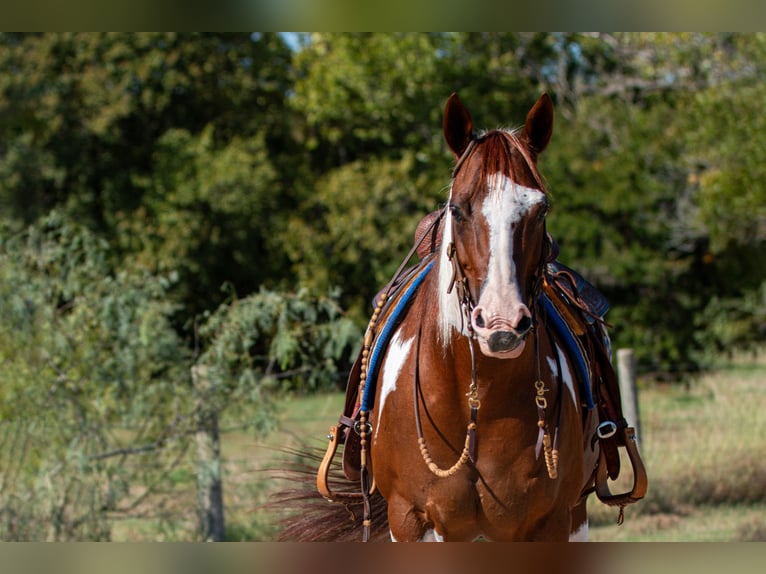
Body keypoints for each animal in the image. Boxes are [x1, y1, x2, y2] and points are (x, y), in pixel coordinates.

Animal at [288, 92, 648, 544]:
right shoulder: (410, 518)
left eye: (541, 209)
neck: (477, 403)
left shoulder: (547, 521)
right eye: (457, 209)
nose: (501, 324)